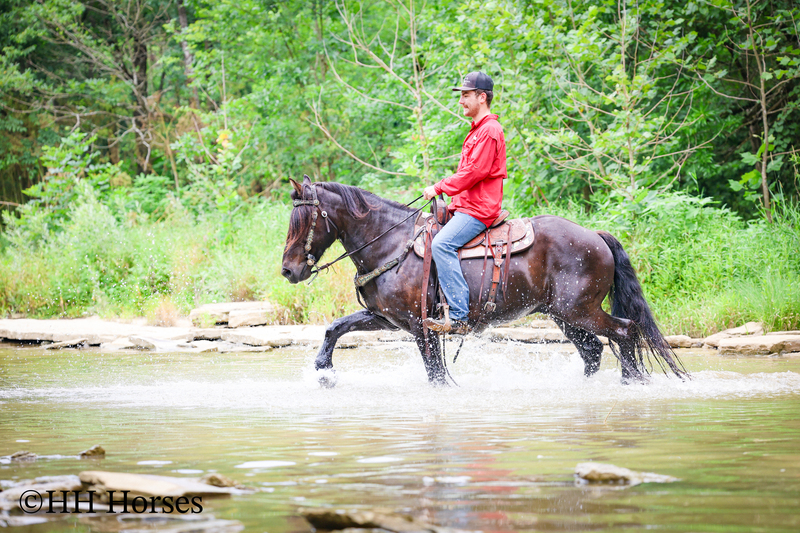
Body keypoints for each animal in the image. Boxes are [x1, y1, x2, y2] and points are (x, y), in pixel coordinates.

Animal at [281, 176, 687, 386]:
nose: (288, 270)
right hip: (565, 316)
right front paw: (324, 371)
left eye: (302, 221)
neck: (391, 242)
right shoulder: (388, 318)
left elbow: (435, 374)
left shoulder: (420, 327)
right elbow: (335, 327)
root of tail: (596, 236)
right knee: (594, 350)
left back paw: (632, 382)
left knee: (624, 332)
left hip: (581, 310)